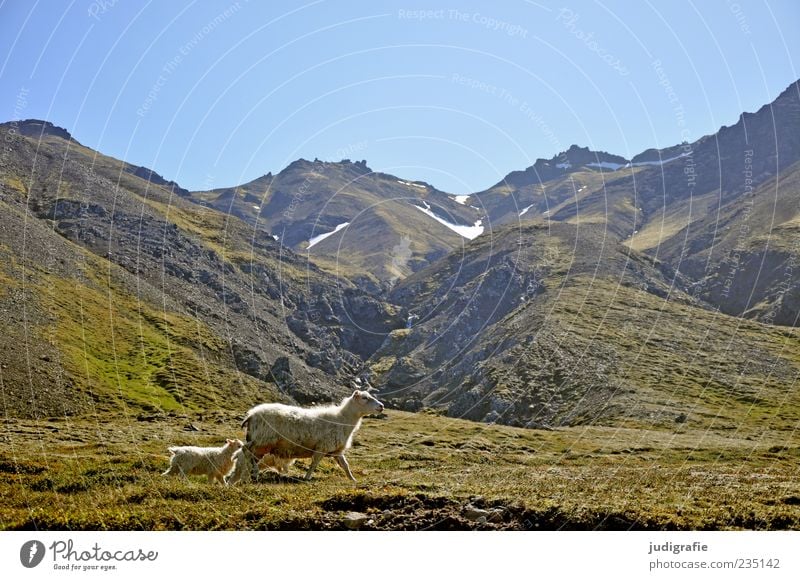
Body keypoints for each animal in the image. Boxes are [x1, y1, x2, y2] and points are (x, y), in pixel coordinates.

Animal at [225, 390, 384, 484]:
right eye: (364, 398)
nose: (381, 406)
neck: (343, 419)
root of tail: (251, 414)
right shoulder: (321, 447)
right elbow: (314, 464)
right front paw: (307, 478)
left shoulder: (336, 451)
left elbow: (345, 465)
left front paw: (353, 479)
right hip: (262, 441)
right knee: (246, 452)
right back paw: (254, 474)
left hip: (259, 442)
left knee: (248, 456)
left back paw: (250, 475)